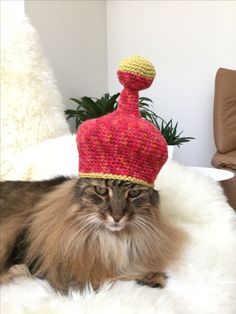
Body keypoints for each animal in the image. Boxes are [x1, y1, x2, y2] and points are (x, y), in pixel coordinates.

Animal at [0, 178, 186, 294]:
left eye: (133, 194)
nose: (117, 217)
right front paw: (154, 277)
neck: (112, 239)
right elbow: (109, 275)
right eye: (101, 190)